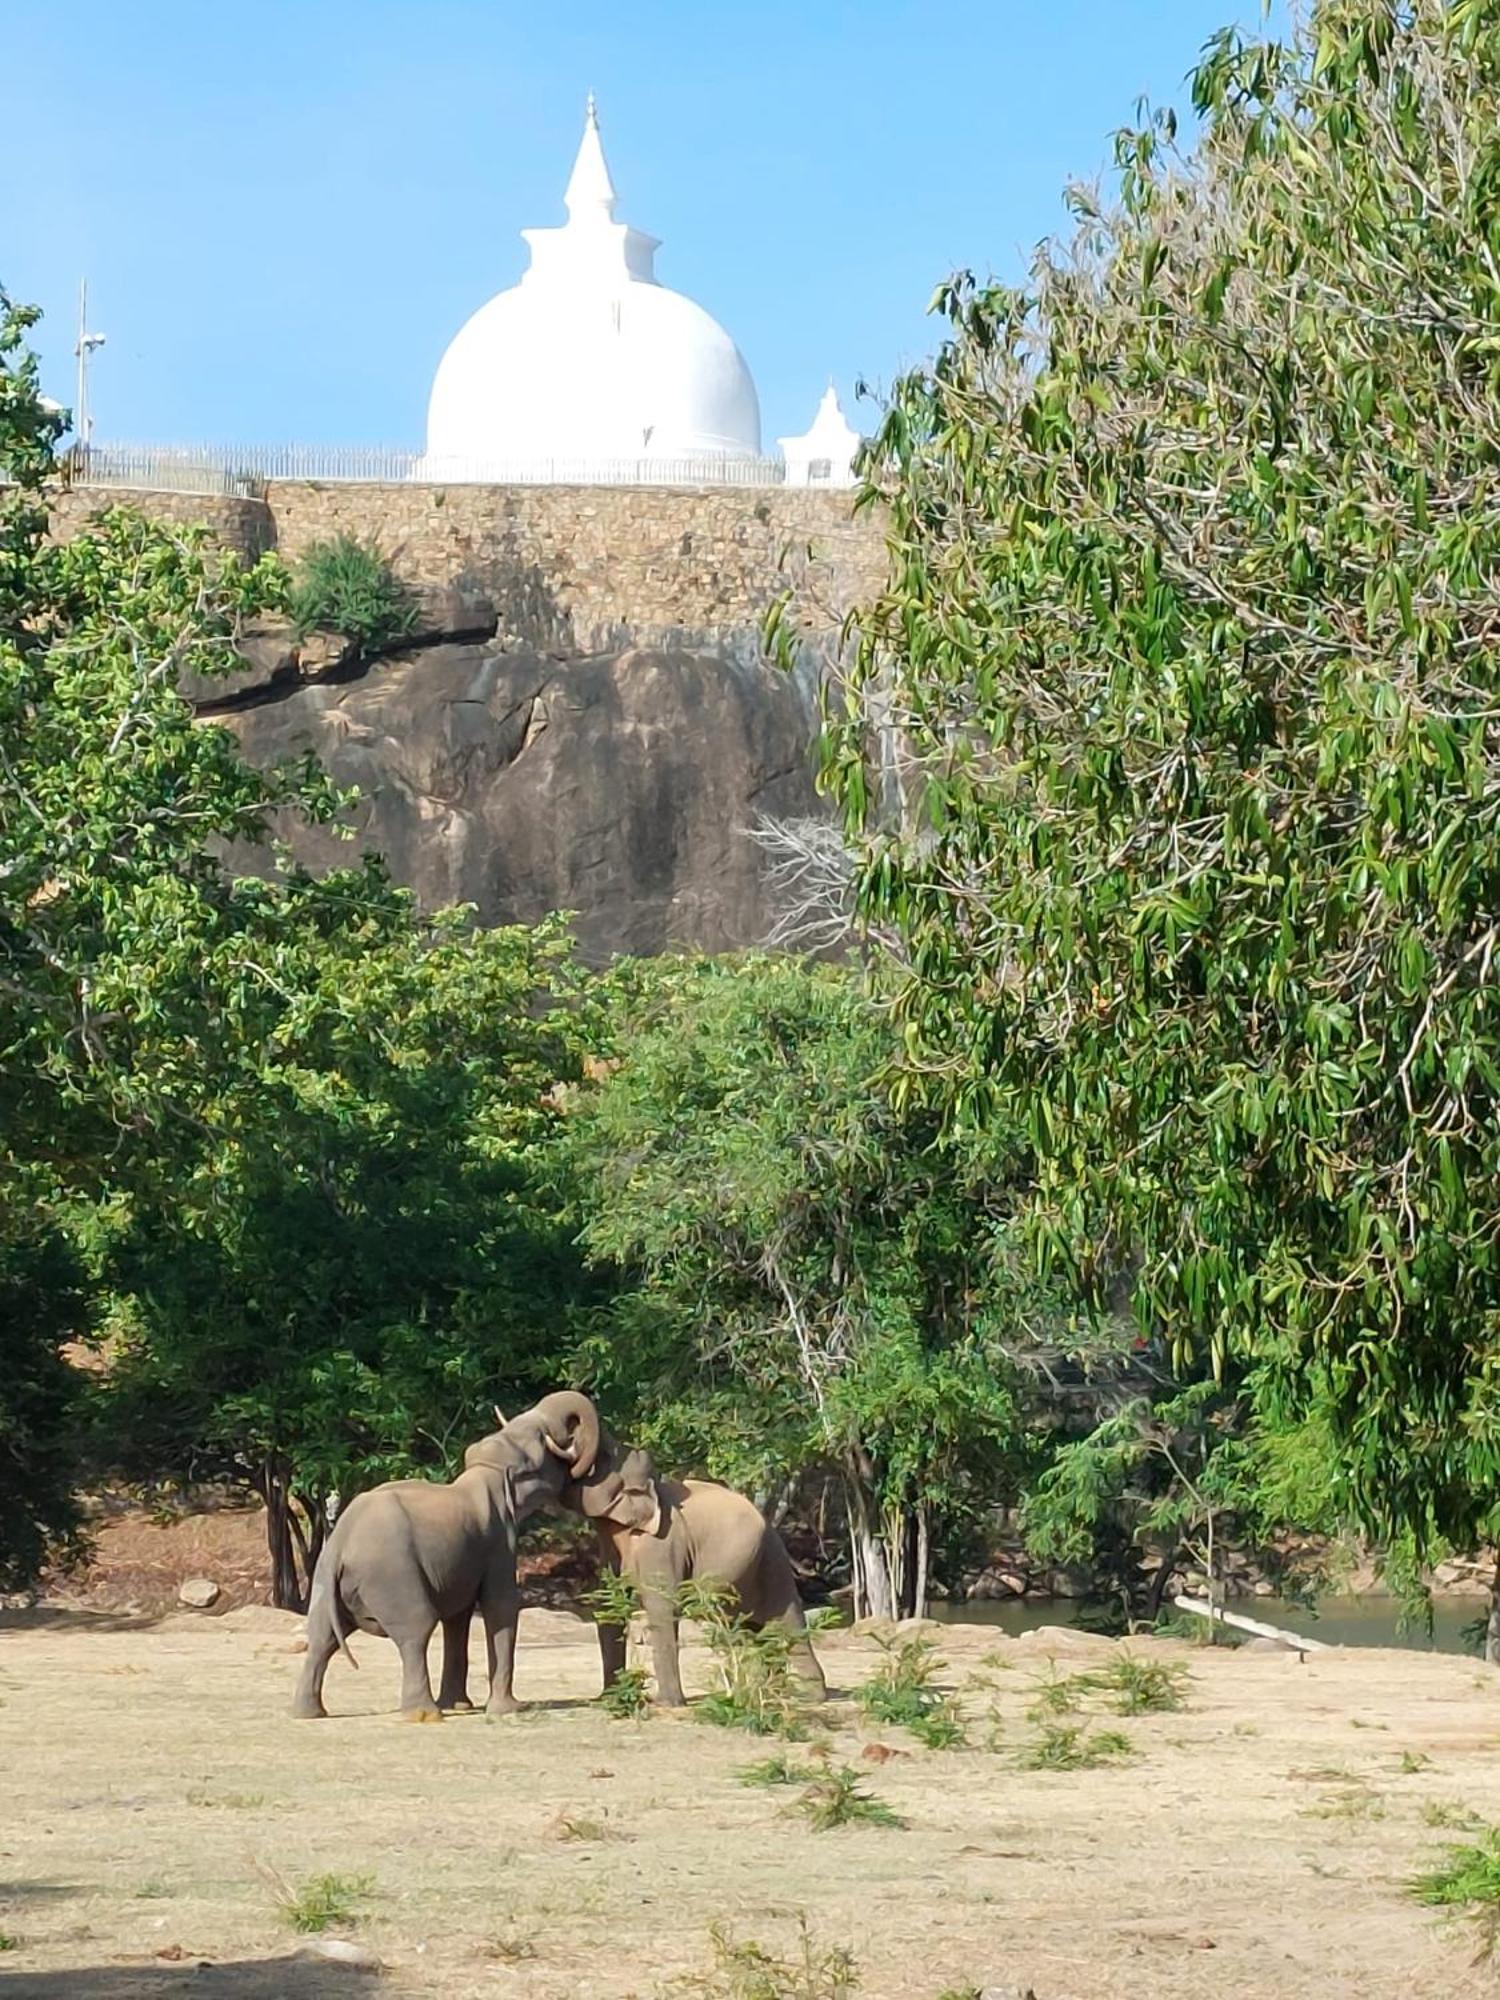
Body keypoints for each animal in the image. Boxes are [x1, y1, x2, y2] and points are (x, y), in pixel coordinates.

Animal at [290, 1392, 604, 1720]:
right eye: (545, 1449)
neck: (486, 1472)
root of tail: (340, 1545)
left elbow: (458, 1617)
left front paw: (459, 1705)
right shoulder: (498, 1542)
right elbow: (501, 1605)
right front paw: (509, 1709)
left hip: (326, 1581)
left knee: (322, 1637)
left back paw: (308, 1713)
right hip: (391, 1576)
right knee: (416, 1629)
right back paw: (425, 1715)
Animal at [564, 1440, 828, 1704]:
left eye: (604, 1457)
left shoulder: (663, 1544)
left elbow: (662, 1606)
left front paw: (666, 1704)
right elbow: (609, 1604)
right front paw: (610, 1699)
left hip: (772, 1563)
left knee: (786, 1623)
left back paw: (807, 1697)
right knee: (757, 1630)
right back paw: (770, 1693)